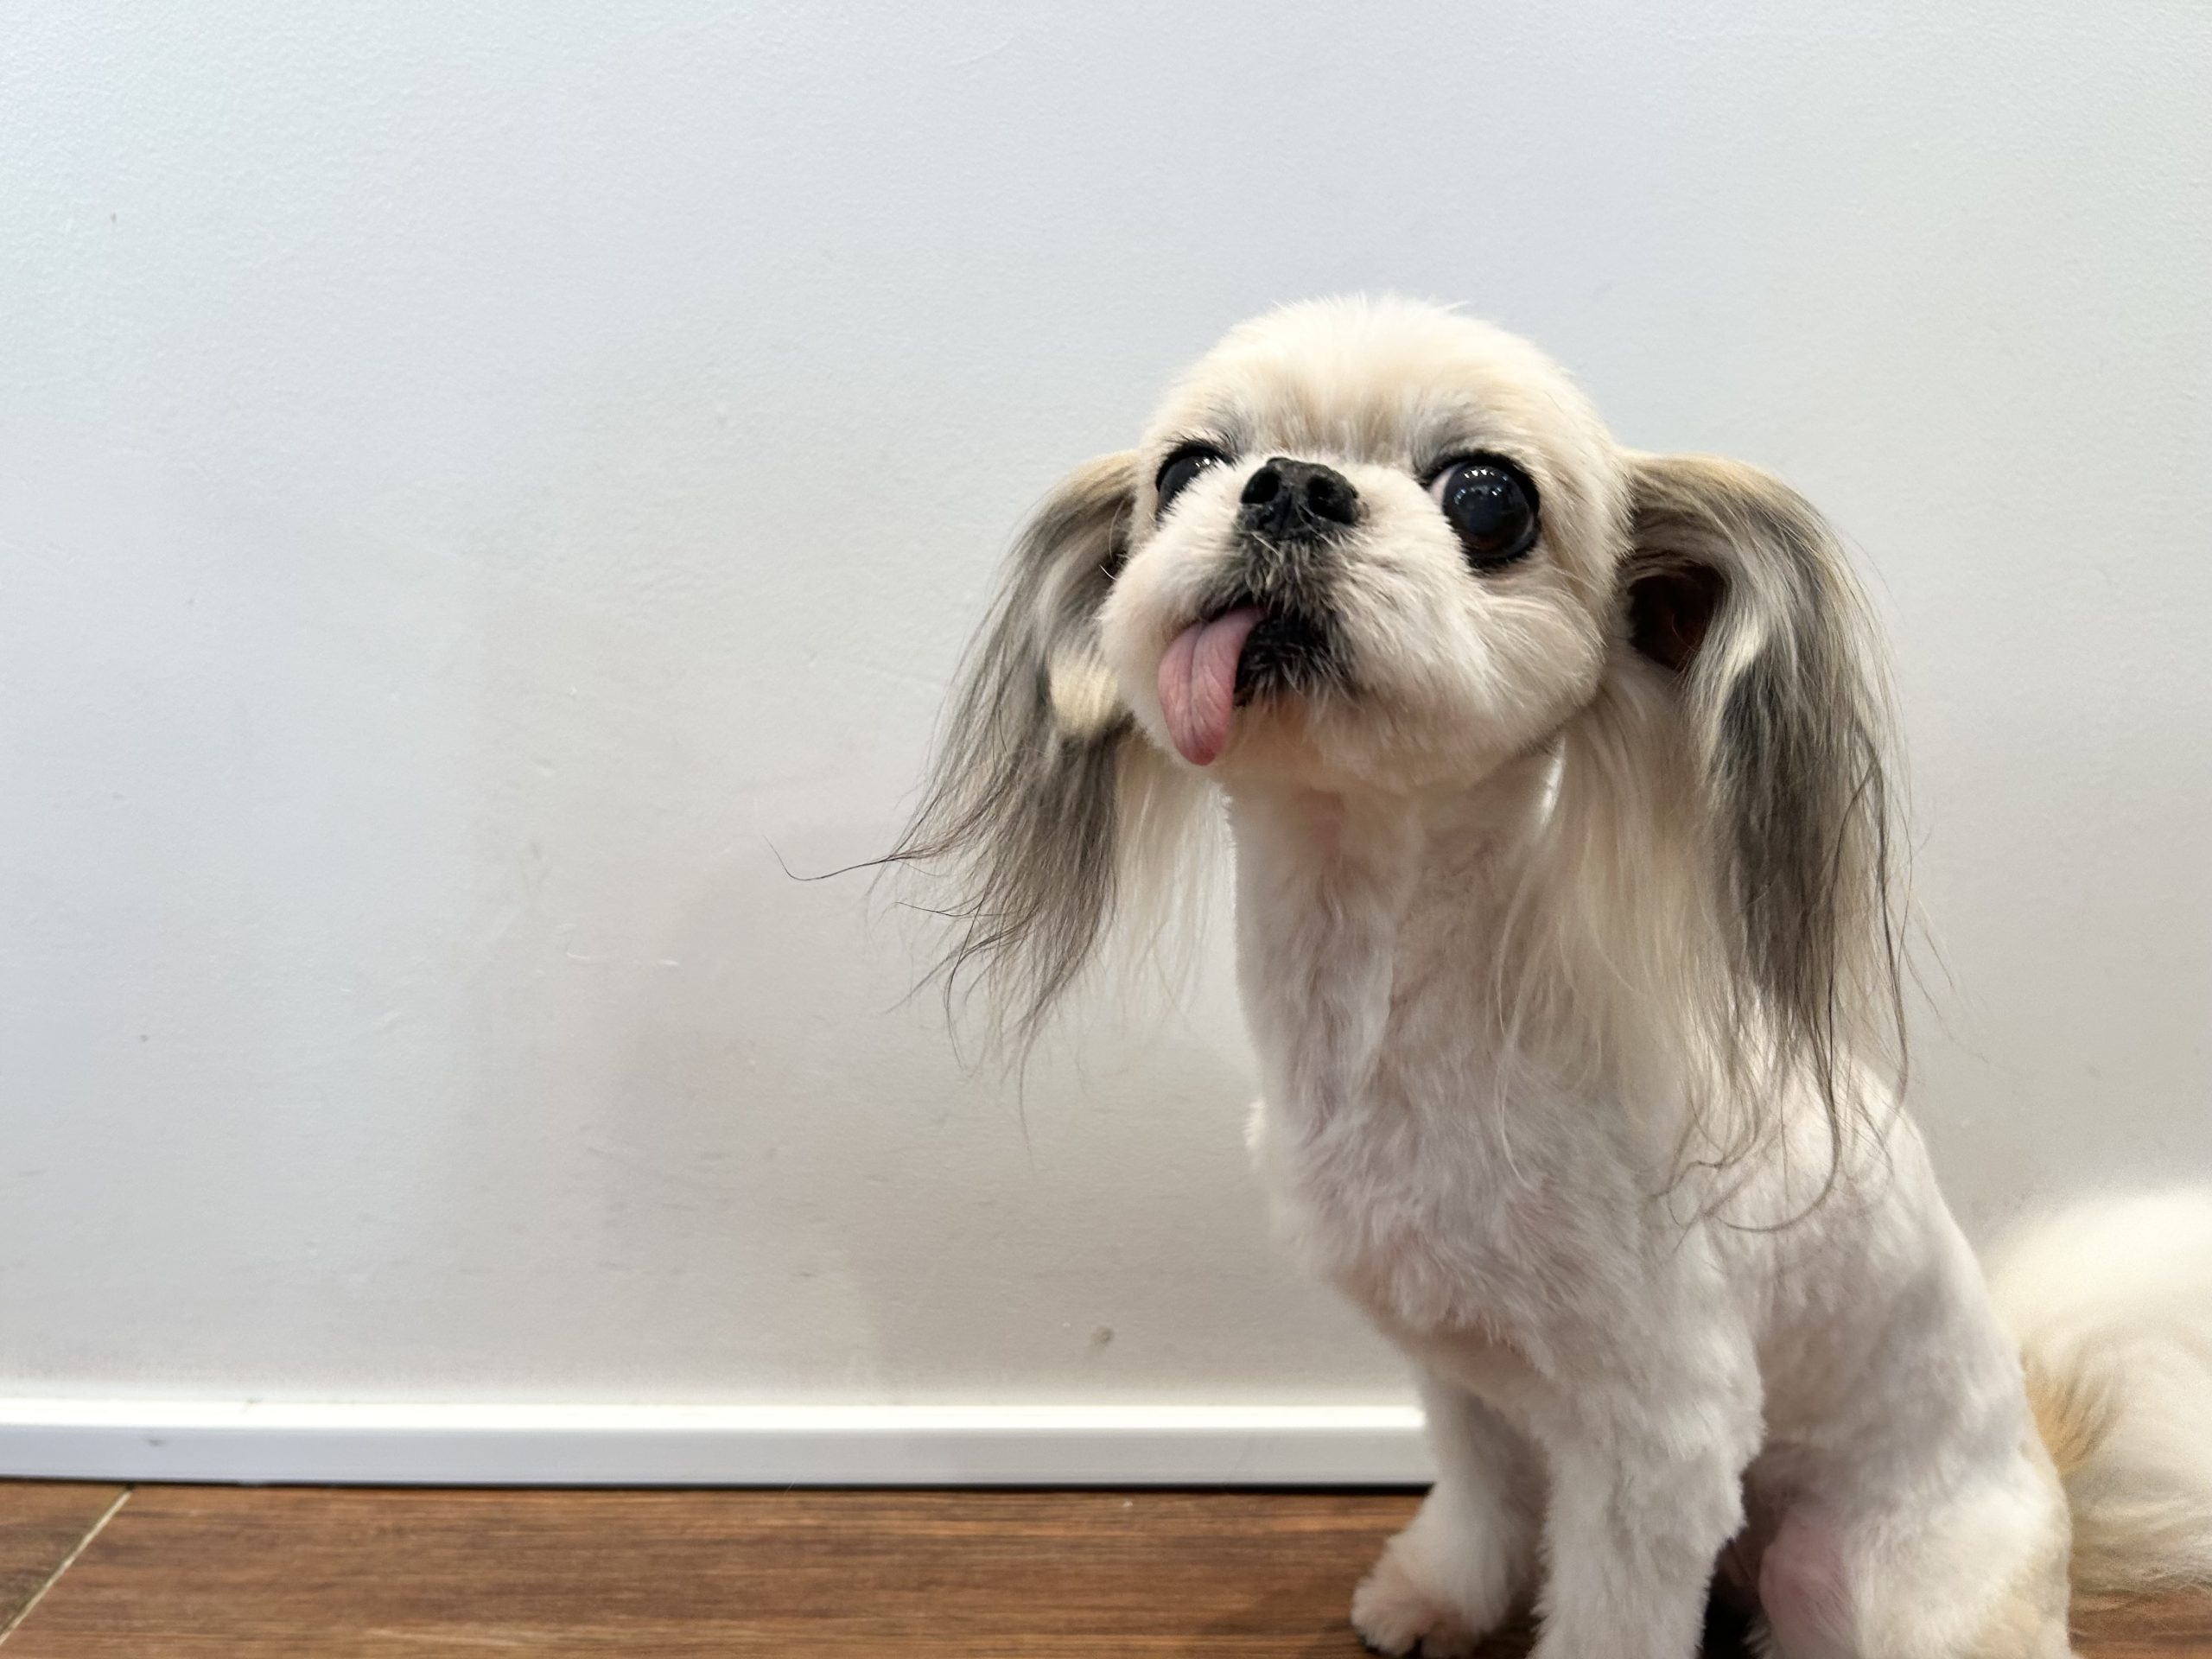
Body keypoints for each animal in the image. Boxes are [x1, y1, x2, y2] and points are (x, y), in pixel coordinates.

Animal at [894, 295, 2212, 1656]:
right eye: (1186, 469)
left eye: (1489, 501)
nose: (1291, 486)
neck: (1397, 1013)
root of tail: (2042, 1461)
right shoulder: (1463, 1373)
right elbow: (1480, 1497)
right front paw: (1437, 1597)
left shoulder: (1660, 1434)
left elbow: (1614, 1608)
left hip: (1859, 1571)